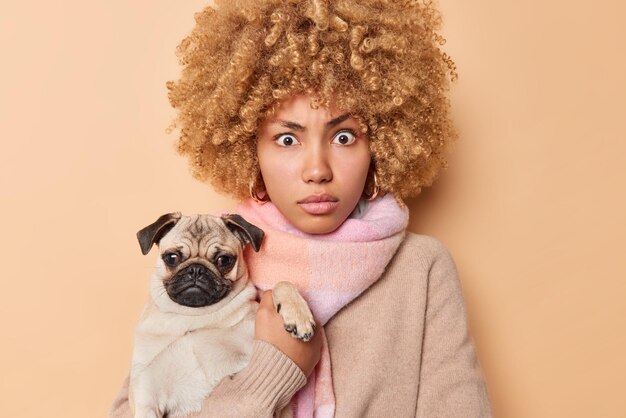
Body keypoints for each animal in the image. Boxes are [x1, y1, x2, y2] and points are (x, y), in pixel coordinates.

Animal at [129, 212, 314, 418]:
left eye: (223, 260)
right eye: (171, 257)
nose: (196, 269)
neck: (194, 317)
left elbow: (282, 284)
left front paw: (298, 316)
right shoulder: (147, 393)